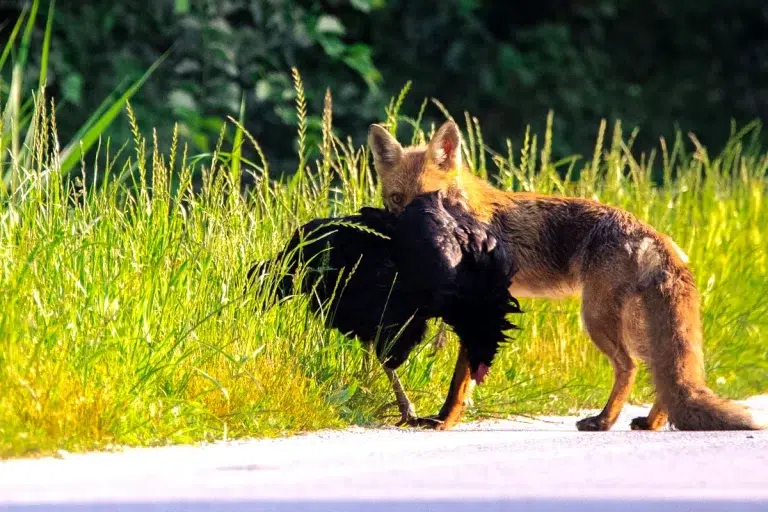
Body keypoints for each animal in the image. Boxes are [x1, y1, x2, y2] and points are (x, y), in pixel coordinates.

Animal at [368, 120, 760, 432]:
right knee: (661, 375)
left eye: (430, 198)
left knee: (629, 368)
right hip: (634, 325)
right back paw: (651, 422)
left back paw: (603, 421)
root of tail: (655, 234)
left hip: (597, 319)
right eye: (397, 199)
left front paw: (444, 421)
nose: (412, 238)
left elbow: (458, 385)